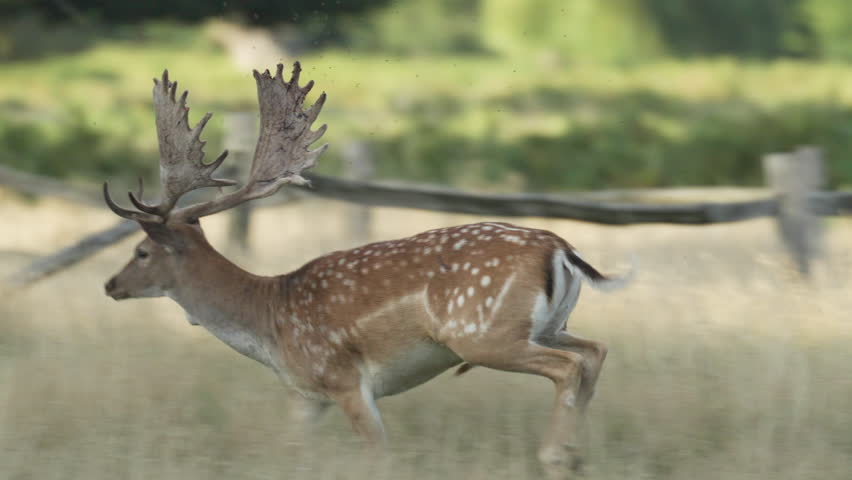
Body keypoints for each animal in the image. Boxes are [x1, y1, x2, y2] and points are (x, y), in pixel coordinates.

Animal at [102, 62, 632, 475]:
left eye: (142, 252)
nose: (110, 284)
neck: (269, 322)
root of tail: (561, 248)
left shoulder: (344, 379)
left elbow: (379, 455)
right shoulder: (305, 396)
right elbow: (290, 455)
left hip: (483, 334)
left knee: (567, 366)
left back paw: (555, 456)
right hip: (546, 326)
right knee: (595, 351)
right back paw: (576, 454)